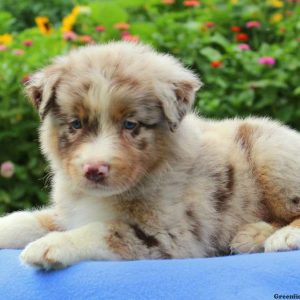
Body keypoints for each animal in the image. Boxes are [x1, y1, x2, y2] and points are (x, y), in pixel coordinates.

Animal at [0, 41, 300, 268]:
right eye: (76, 124)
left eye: (130, 124)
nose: (94, 170)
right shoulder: (68, 212)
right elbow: (27, 219)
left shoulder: (169, 234)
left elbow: (104, 230)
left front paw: (51, 244)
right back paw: (252, 234)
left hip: (272, 154)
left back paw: (281, 236)